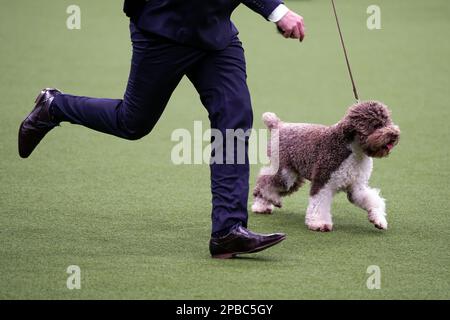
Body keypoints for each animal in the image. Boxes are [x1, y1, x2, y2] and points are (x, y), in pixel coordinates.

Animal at [253, 101, 400, 231]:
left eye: (387, 121)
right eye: (376, 125)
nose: (394, 134)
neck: (354, 151)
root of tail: (279, 125)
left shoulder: (356, 187)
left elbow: (372, 200)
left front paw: (379, 220)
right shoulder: (323, 180)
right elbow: (319, 203)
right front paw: (319, 224)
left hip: (295, 176)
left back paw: (262, 207)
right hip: (285, 173)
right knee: (264, 182)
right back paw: (272, 199)